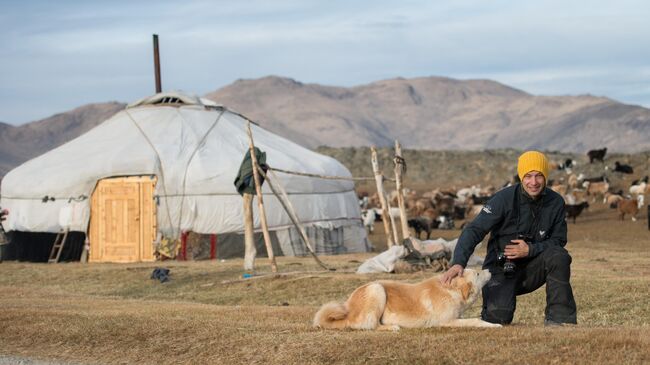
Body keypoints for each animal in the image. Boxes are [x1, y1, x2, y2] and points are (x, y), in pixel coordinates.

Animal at [312, 268, 498, 330]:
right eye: (478, 274)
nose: (490, 269)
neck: (451, 290)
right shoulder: (447, 322)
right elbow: (475, 320)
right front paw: (493, 325)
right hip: (377, 289)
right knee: (369, 325)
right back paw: (392, 327)